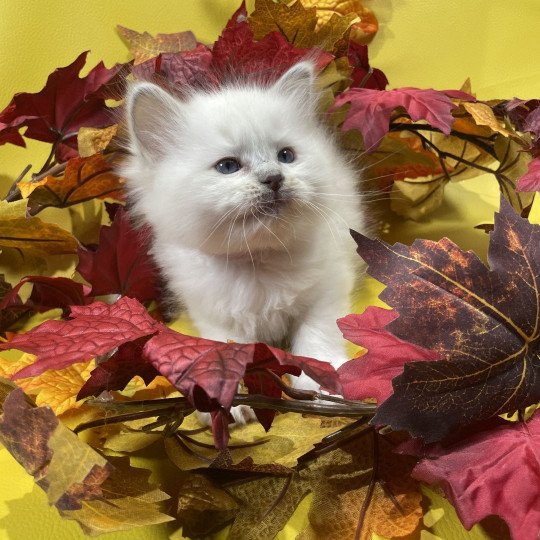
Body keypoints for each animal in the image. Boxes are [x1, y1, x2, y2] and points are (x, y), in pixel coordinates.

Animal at [123, 61, 362, 420]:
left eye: (286, 156)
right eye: (228, 166)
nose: (274, 178)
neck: (256, 261)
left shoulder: (326, 291)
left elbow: (316, 342)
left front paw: (323, 386)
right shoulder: (213, 314)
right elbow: (222, 353)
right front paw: (224, 403)